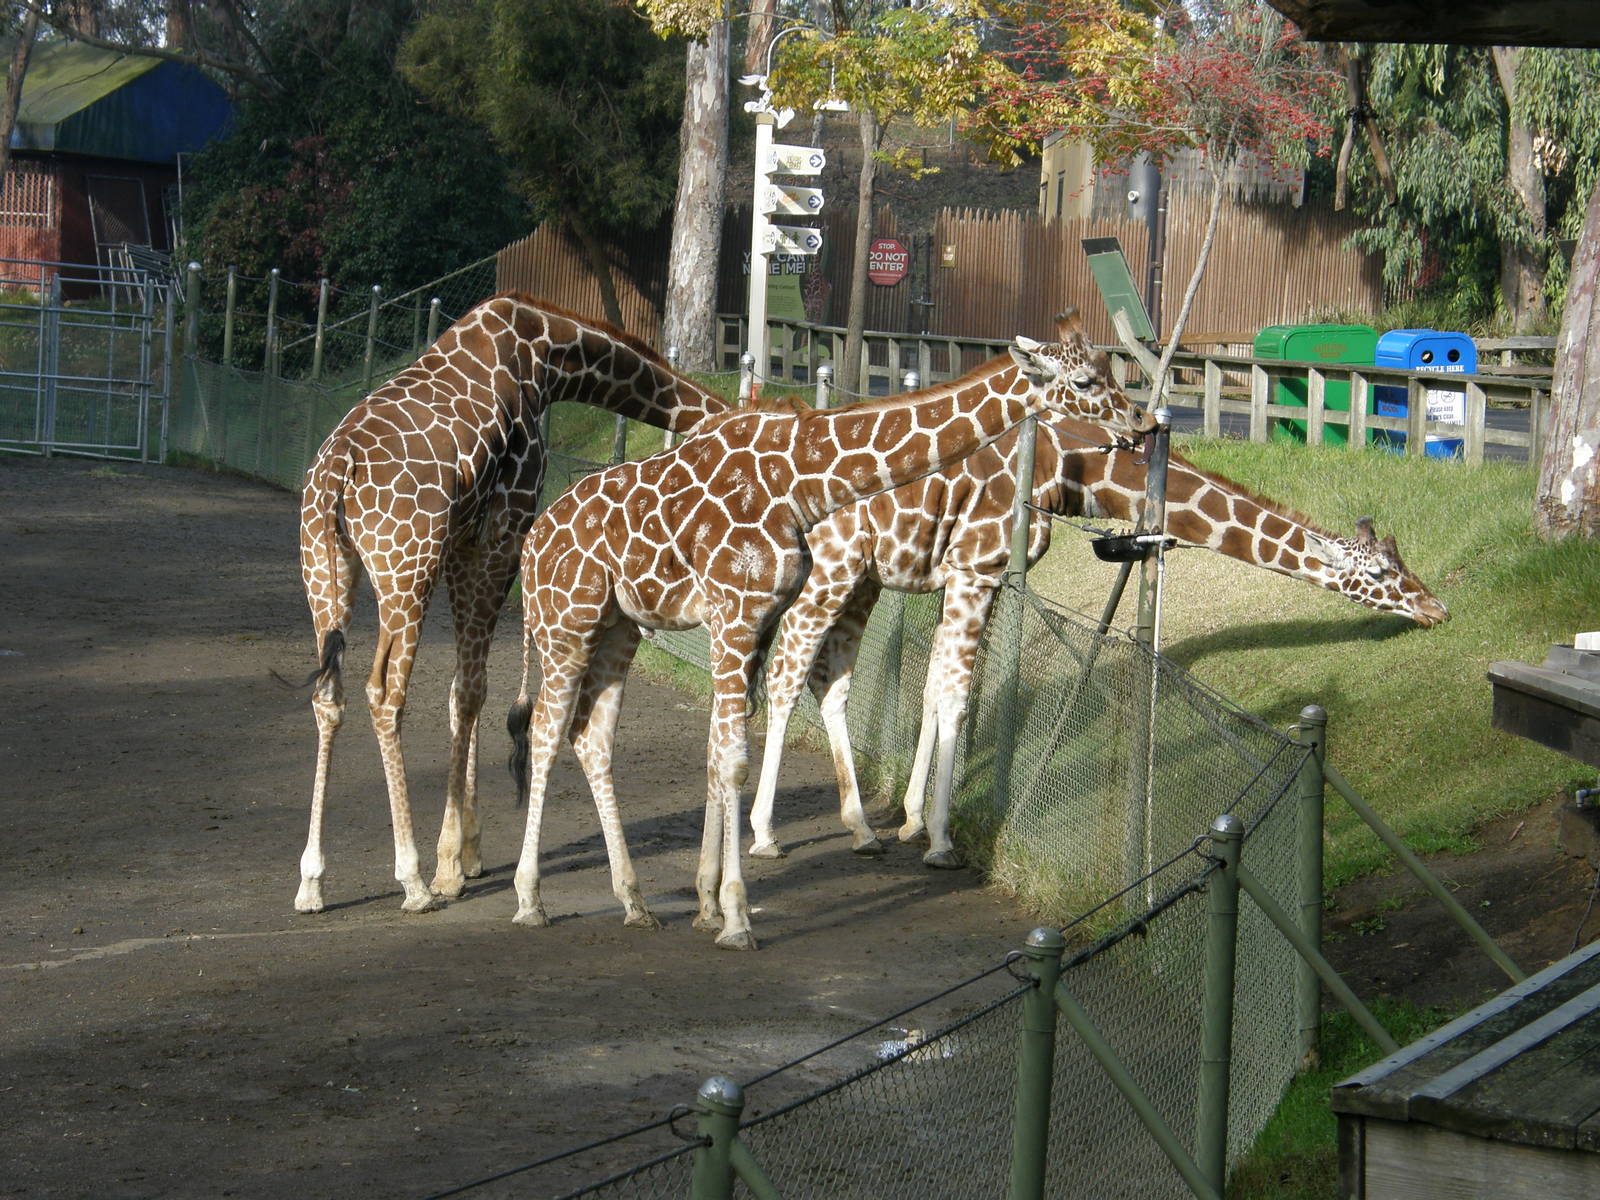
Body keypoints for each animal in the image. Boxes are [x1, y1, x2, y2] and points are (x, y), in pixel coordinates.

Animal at [295, 293, 728, 916]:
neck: (547, 356)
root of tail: (337, 471)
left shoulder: (465, 540)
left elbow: (465, 690)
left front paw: (468, 853)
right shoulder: (502, 530)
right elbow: (471, 690)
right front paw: (451, 865)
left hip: (326, 569)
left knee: (329, 694)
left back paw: (311, 880)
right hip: (405, 571)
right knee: (385, 695)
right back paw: (412, 879)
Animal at [505, 333, 1158, 949]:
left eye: (1109, 367)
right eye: (1084, 379)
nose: (1141, 420)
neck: (800, 480)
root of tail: (533, 541)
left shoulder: (749, 619)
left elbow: (718, 753)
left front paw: (706, 902)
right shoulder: (736, 613)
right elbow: (733, 760)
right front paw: (736, 918)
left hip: (617, 628)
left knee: (591, 739)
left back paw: (634, 901)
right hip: (566, 624)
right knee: (545, 735)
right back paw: (530, 900)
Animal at [747, 415, 1451, 866]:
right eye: (1381, 574)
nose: (1437, 609)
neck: (1077, 472)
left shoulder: (979, 576)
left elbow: (936, 691)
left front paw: (913, 820)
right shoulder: (975, 570)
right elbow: (953, 697)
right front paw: (942, 841)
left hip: (863, 575)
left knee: (827, 681)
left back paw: (861, 828)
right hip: (831, 568)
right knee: (783, 673)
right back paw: (763, 834)